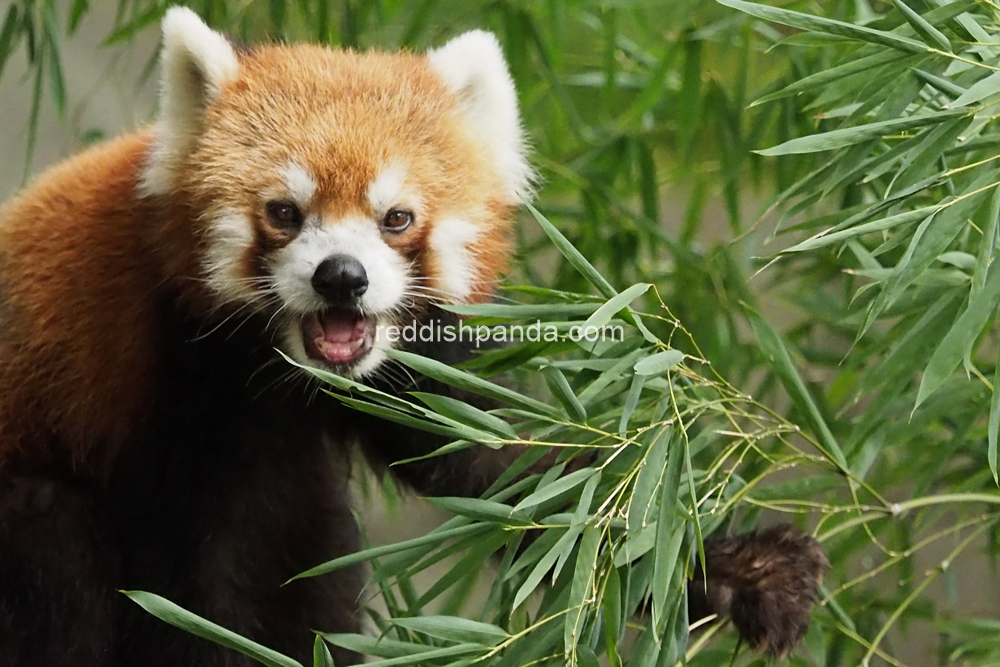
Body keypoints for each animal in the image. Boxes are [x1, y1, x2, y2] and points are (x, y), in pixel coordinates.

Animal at [0, 6, 828, 667]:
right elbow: (202, 591)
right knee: (56, 556)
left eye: (395, 217)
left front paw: (746, 572)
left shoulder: (410, 362)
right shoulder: (176, 390)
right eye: (284, 212)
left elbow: (510, 472)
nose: (342, 277)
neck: (286, 371)